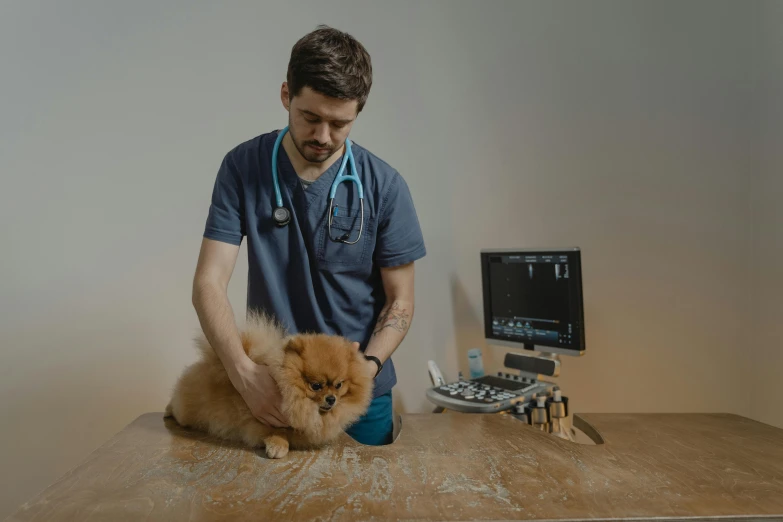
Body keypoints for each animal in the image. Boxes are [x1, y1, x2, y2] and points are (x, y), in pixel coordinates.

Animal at [164, 310, 376, 458]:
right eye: (316, 385)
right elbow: (277, 431)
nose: (331, 399)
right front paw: (278, 446)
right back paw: (167, 410)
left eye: (339, 385)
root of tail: (209, 362)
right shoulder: (263, 419)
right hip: (186, 411)